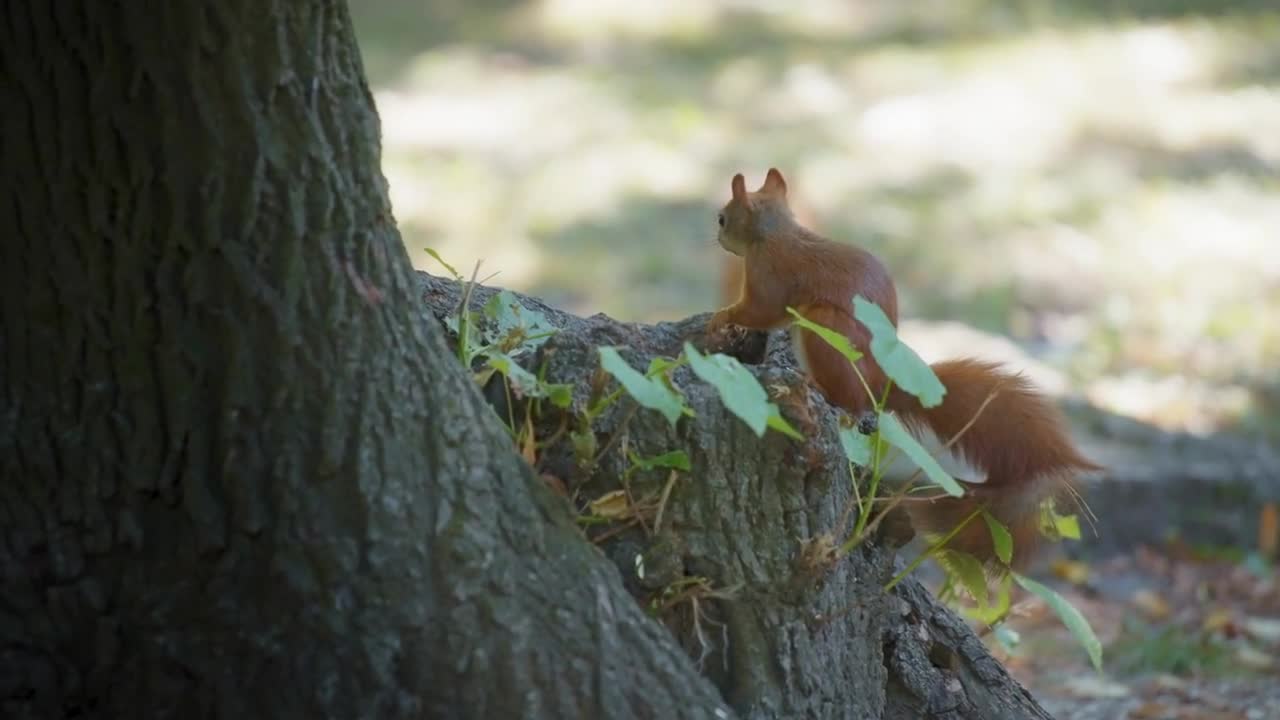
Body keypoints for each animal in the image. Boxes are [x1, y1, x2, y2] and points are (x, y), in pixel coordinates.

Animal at [706, 169, 1095, 566]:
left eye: (722, 218)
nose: (719, 238)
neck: (775, 232)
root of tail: (880, 386)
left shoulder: (770, 274)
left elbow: (761, 310)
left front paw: (722, 317)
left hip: (826, 331)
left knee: (849, 403)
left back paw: (817, 386)